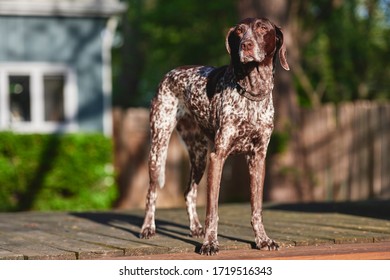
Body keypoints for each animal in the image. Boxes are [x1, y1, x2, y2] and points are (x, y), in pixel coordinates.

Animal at [140, 16, 290, 255]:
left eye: (262, 28)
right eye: (239, 31)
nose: (246, 45)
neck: (252, 94)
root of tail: (171, 72)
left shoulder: (257, 159)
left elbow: (256, 209)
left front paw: (262, 239)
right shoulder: (217, 157)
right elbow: (213, 210)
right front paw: (210, 243)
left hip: (199, 155)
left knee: (189, 192)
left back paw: (195, 228)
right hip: (159, 148)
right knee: (151, 192)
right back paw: (148, 227)